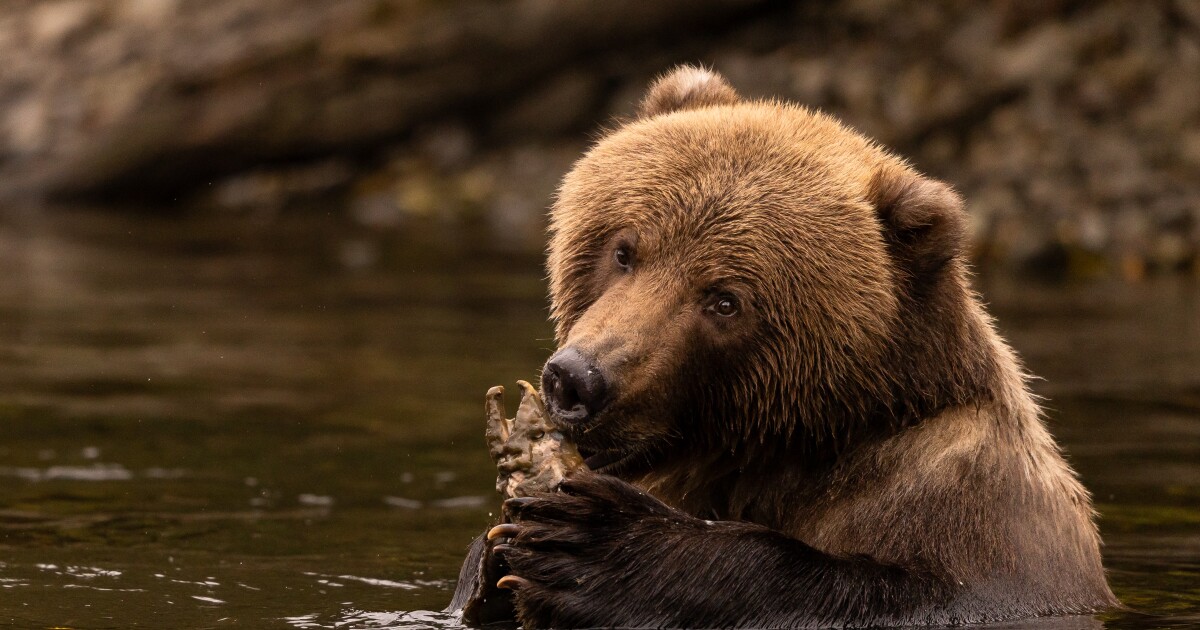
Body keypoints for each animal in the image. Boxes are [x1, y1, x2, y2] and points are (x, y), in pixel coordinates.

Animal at [448, 65, 1118, 628]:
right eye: (625, 249)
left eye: (725, 299)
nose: (577, 378)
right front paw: (503, 539)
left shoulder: (972, 513)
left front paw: (590, 541)